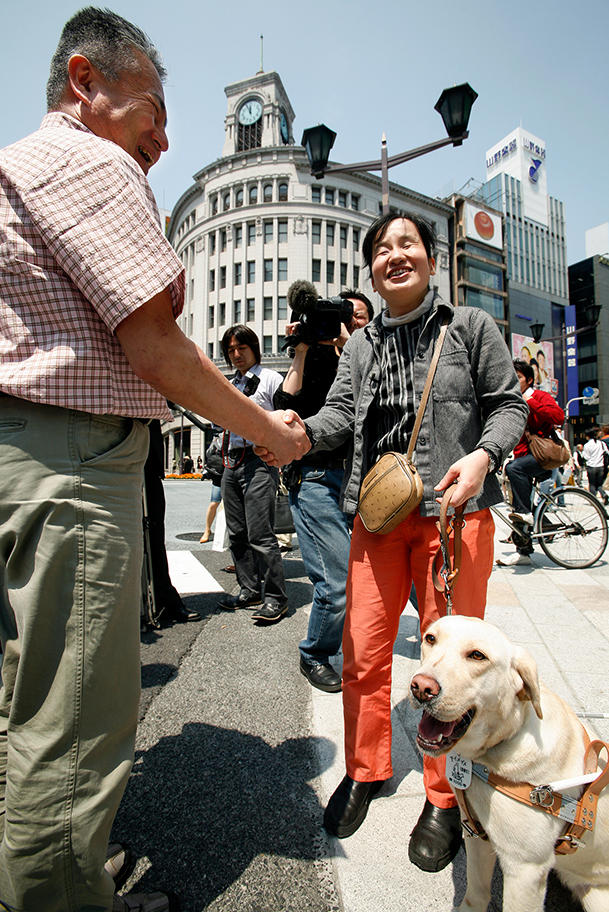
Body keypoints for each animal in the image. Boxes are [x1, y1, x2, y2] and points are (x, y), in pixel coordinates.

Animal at [408, 616, 608, 908]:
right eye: (430, 638)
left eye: (477, 656)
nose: (422, 687)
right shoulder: (476, 833)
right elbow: (475, 893)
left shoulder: (525, 869)